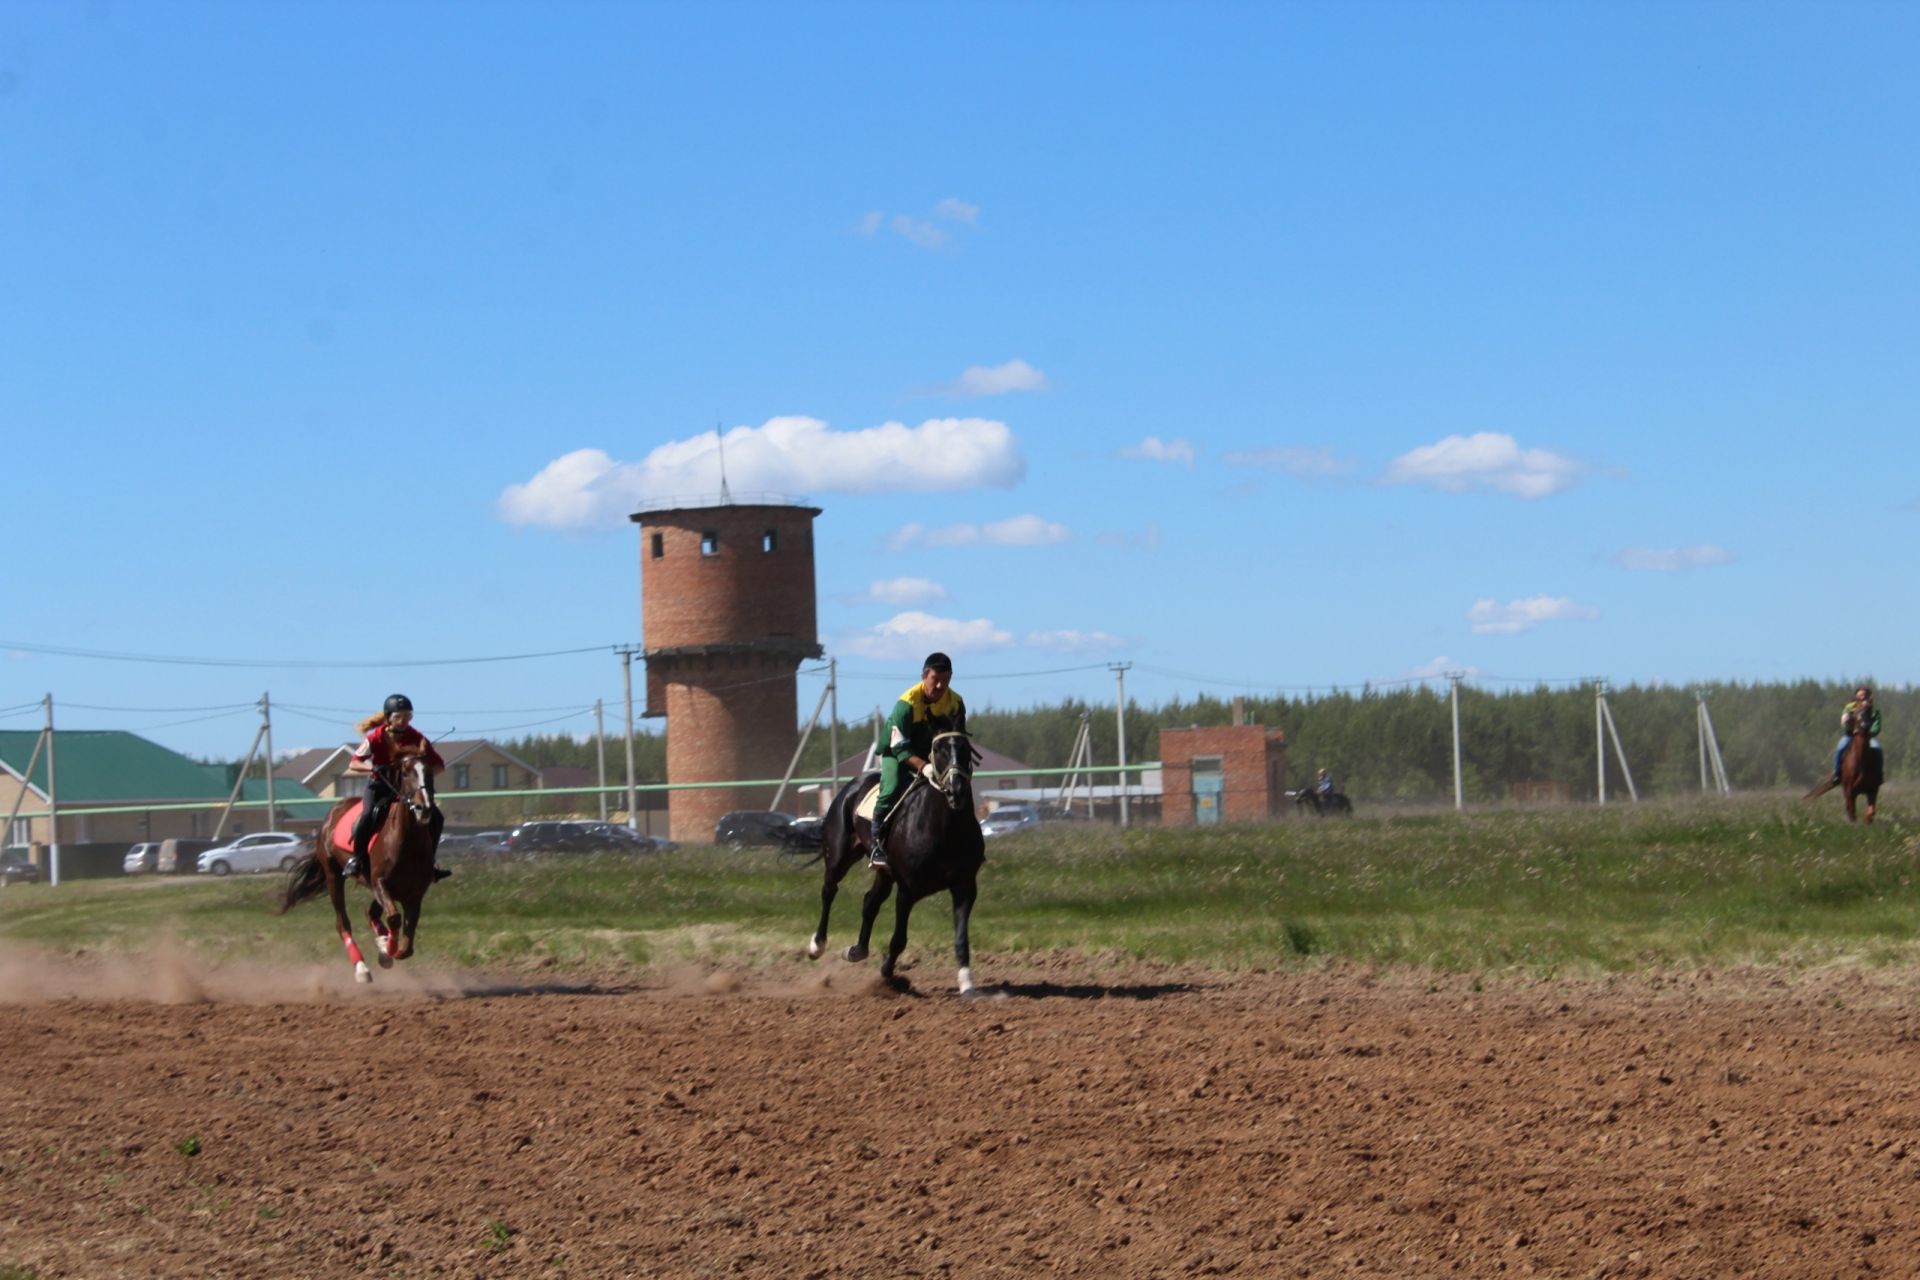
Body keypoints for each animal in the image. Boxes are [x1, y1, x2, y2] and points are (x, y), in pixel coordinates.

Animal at [278, 752, 441, 982]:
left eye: (429, 772)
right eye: (406, 773)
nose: (423, 808)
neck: (408, 842)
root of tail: (334, 811)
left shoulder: (414, 893)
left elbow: (407, 946)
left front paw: (387, 947)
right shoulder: (380, 882)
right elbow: (394, 919)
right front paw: (386, 947)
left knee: (370, 913)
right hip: (333, 876)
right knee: (343, 923)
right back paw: (362, 967)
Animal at [806, 729, 990, 990]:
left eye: (965, 748)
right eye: (938, 750)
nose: (955, 790)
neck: (945, 827)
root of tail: (850, 787)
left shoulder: (964, 886)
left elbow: (961, 936)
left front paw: (966, 981)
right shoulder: (907, 890)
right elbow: (899, 938)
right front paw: (887, 972)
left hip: (884, 872)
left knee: (870, 902)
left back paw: (857, 950)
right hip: (839, 855)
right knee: (829, 890)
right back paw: (817, 945)